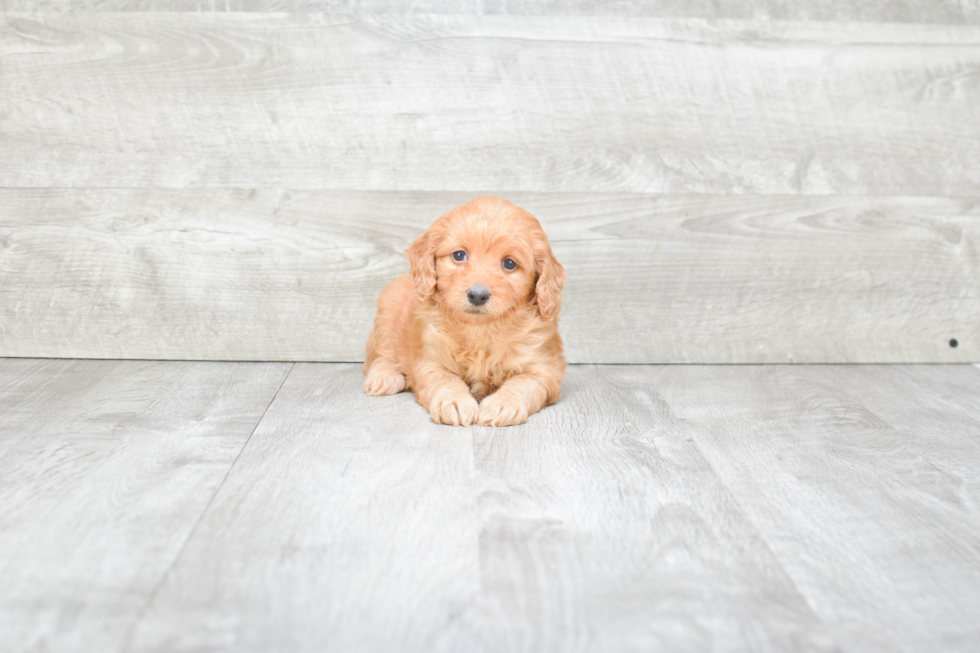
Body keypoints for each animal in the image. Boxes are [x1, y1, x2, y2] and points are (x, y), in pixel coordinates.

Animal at [364, 196, 568, 426]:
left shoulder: (545, 370)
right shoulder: (430, 361)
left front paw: (503, 404)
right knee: (380, 354)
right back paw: (384, 377)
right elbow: (445, 379)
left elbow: (523, 382)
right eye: (459, 255)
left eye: (509, 263)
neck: (479, 329)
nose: (477, 295)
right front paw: (453, 401)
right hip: (388, 309)